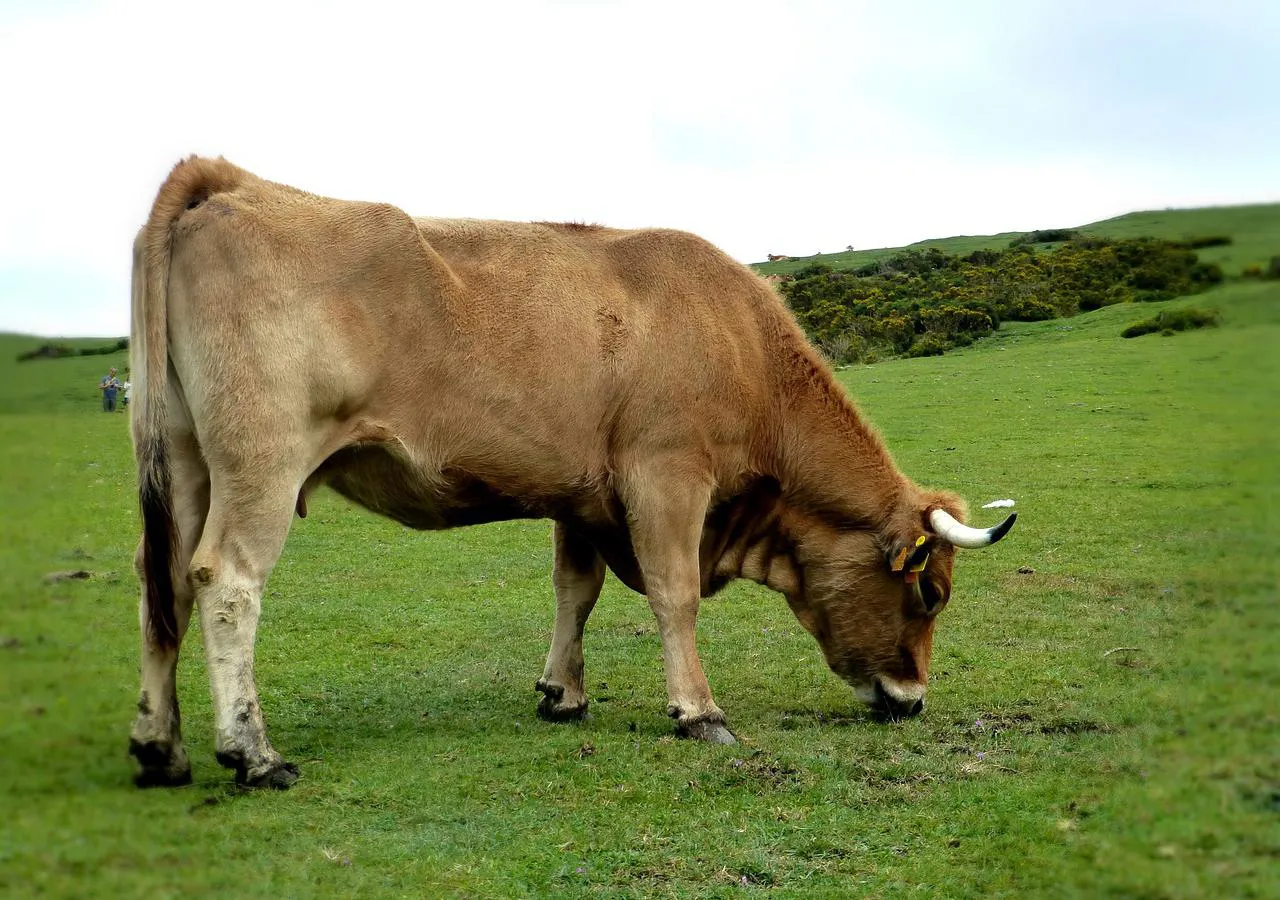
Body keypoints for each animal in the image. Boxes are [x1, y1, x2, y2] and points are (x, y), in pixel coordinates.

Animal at [128, 156, 1014, 789]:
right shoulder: (666, 477)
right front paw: (698, 711)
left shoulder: (581, 498)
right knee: (226, 581)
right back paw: (252, 752)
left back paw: (159, 745)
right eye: (930, 594)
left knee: (164, 584)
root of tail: (230, 182)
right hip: (263, 463)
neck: (743, 346)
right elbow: (674, 596)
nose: (914, 701)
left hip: (186, 462)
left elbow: (574, 591)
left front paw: (564, 693)